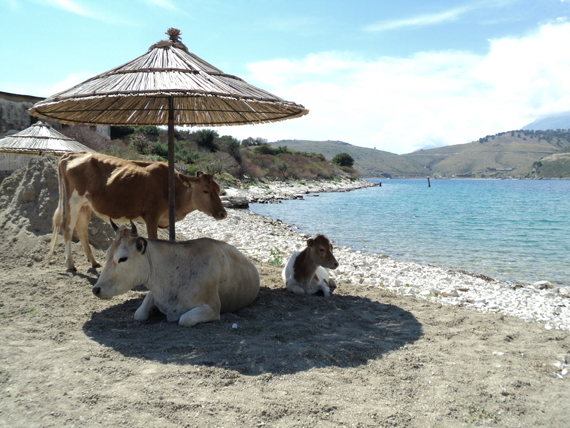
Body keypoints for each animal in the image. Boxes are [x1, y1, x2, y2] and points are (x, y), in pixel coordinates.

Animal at [45, 151, 226, 270]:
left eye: (218, 189)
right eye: (205, 190)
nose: (223, 213)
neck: (172, 188)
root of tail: (71, 154)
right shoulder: (151, 216)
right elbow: (154, 240)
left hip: (85, 205)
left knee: (81, 230)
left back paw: (94, 262)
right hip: (73, 200)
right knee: (67, 228)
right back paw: (70, 264)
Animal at [93, 221, 260, 328]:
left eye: (123, 258)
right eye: (107, 255)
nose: (96, 289)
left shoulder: (212, 307)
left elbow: (184, 319)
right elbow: (139, 313)